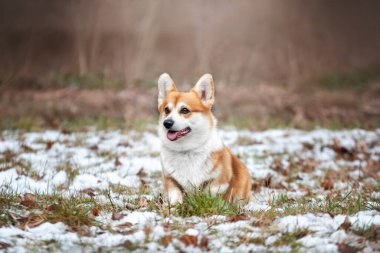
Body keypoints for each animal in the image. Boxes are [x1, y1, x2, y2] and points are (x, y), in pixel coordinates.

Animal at [156, 72, 251, 204]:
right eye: (166, 110)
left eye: (184, 110)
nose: (167, 123)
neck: (186, 150)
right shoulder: (170, 179)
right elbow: (175, 194)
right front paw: (174, 206)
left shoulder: (220, 180)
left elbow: (210, 191)